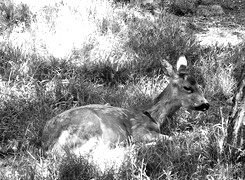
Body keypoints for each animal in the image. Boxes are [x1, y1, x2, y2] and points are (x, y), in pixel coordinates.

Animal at [41, 56, 209, 155]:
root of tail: (47, 145)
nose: (206, 104)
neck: (153, 117)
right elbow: (172, 137)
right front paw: (202, 133)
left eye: (199, 85)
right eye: (188, 87)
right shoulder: (139, 131)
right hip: (90, 127)